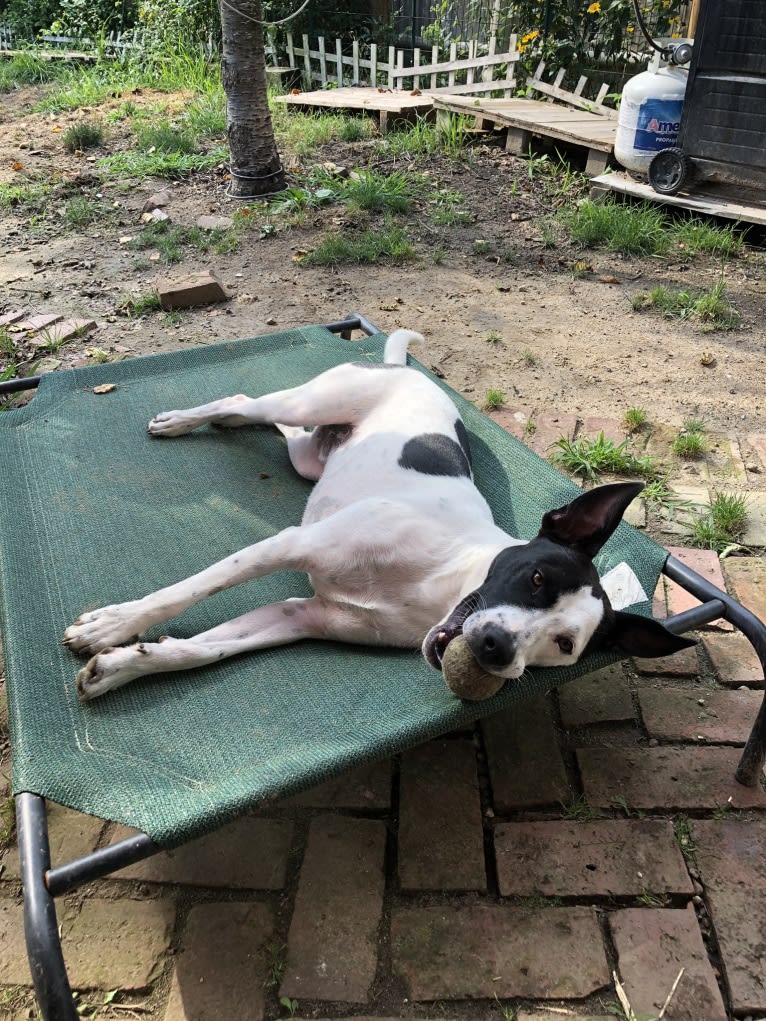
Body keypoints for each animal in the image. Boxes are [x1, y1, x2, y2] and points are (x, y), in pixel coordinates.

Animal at [63, 328, 694, 702]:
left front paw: (125, 666)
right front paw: (110, 627)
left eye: (565, 645)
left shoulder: (300, 616)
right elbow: (183, 593)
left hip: (307, 457)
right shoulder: (288, 545)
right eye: (536, 577)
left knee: (270, 424)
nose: (497, 647)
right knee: (250, 402)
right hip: (312, 401)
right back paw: (183, 420)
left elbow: (207, 648)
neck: (439, 582)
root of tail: (406, 368)